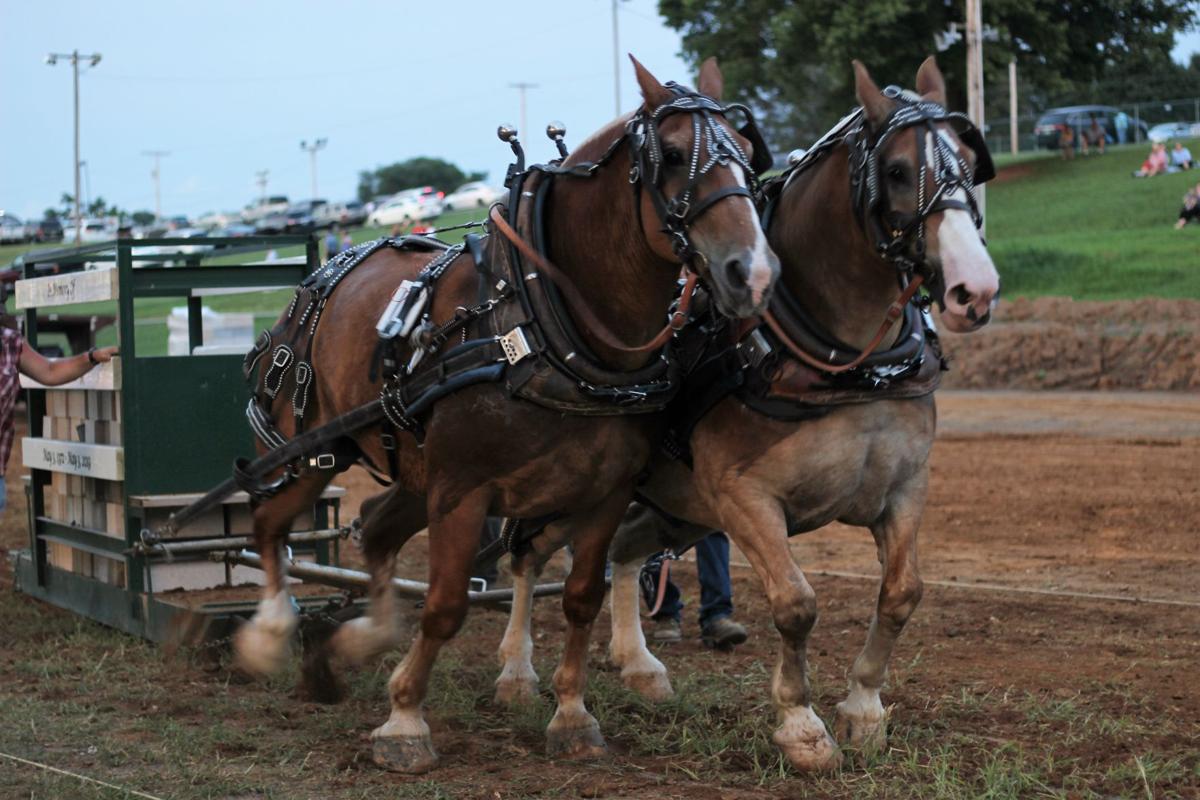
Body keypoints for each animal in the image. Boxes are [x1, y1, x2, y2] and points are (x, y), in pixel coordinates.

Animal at [234, 57, 782, 777]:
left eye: (747, 153)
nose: (754, 272)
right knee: (270, 522)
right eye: (667, 156)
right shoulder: (463, 492)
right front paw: (404, 722)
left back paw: (356, 642)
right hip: (311, 452)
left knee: (375, 531)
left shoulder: (606, 494)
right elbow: (445, 606)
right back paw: (271, 635)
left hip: (413, 475)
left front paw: (572, 715)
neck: (537, 321)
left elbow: (581, 598)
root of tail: (322, 274)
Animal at [496, 56, 1003, 767]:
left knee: (622, 550)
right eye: (900, 170)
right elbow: (796, 605)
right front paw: (802, 725)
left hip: (676, 508)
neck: (847, 362)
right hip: (584, 492)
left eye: (968, 158)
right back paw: (516, 673)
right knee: (526, 556)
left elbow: (902, 594)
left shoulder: (905, 487)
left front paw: (864, 708)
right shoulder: (746, 499)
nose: (973, 290)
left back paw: (639, 665)